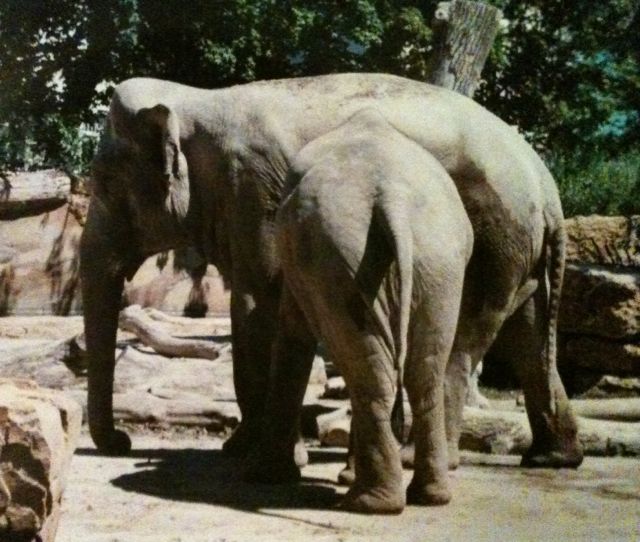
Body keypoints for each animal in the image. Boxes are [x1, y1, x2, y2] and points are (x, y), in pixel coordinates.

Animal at [81, 73, 582, 473]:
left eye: (105, 185)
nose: (123, 444)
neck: (197, 100)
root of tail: (547, 186)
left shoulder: (256, 193)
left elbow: (256, 304)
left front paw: (247, 452)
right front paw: (241, 449)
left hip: (494, 237)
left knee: (463, 341)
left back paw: (419, 459)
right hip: (520, 249)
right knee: (529, 337)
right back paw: (552, 458)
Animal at [245, 108, 473, 514]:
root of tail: (393, 195)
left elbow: (293, 336)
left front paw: (263, 476)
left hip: (338, 255)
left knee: (370, 368)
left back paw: (370, 503)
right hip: (437, 264)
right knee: (424, 372)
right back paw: (427, 498)